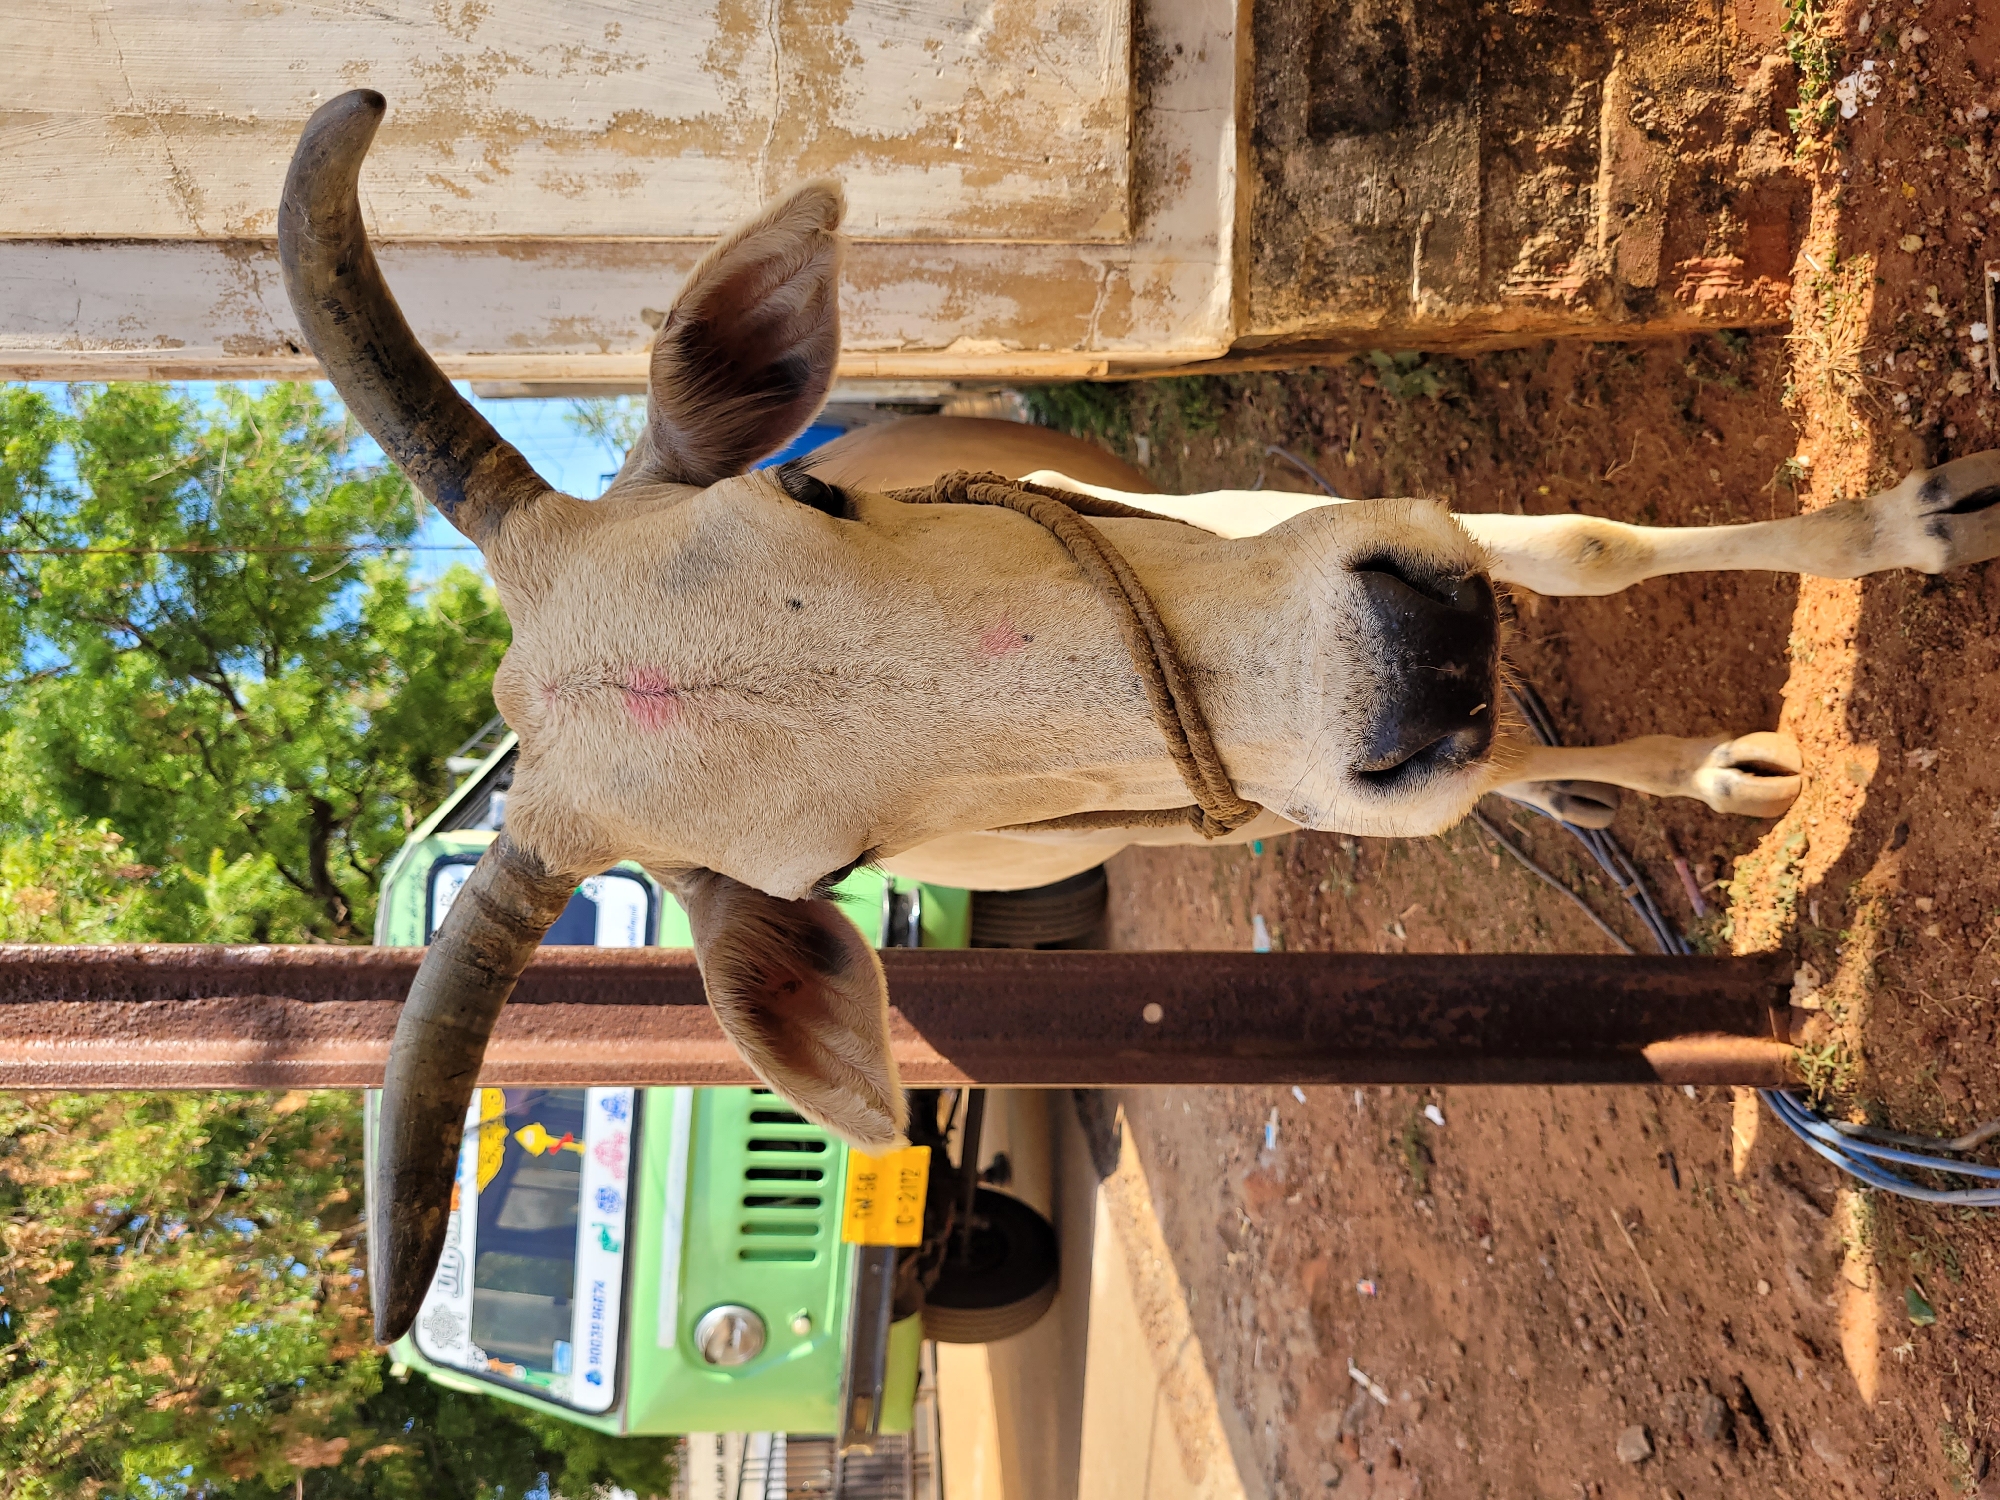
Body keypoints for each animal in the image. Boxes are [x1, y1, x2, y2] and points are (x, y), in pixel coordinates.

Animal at [278, 92, 2000, 1340]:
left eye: (813, 497)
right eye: (841, 865)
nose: (1413, 659)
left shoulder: (1323, 525)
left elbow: (1589, 548)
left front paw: (1921, 526)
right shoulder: (1269, 772)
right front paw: (1665, 765)